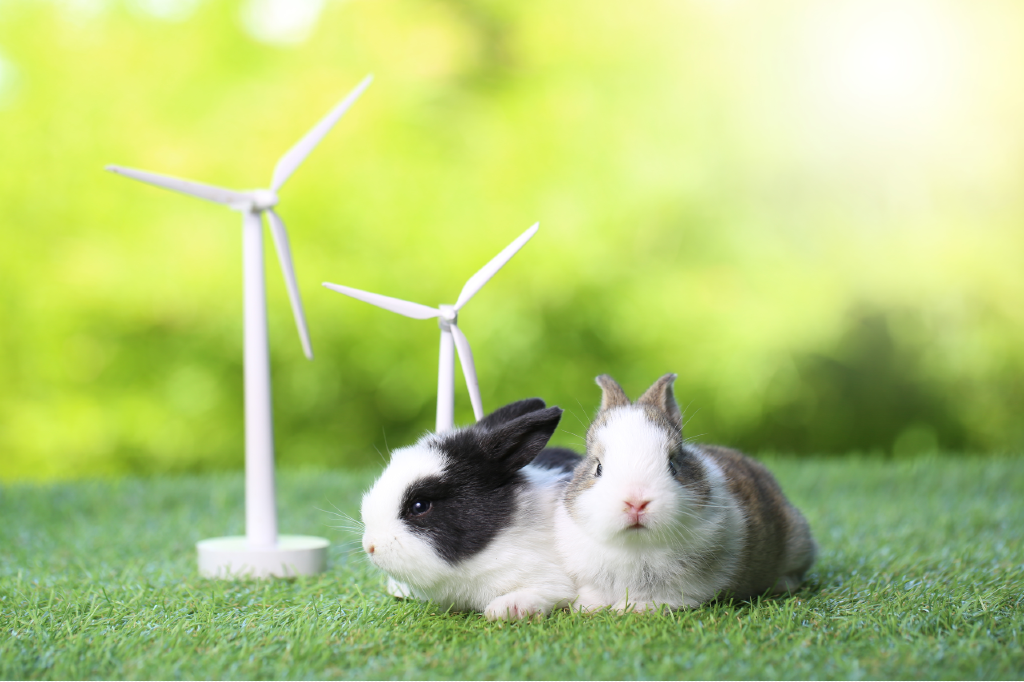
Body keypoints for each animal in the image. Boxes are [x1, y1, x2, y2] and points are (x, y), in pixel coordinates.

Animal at [552, 372, 815, 610]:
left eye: (672, 465)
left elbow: (666, 596)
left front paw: (636, 609)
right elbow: (594, 592)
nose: (636, 503)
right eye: (598, 468)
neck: (636, 545)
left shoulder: (685, 583)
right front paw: (586, 607)